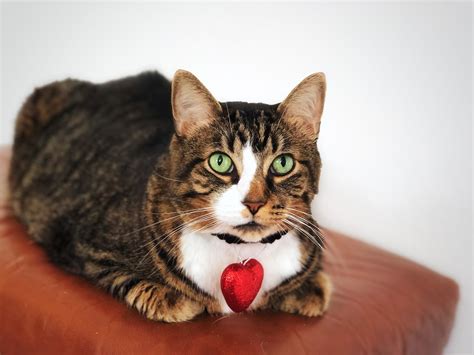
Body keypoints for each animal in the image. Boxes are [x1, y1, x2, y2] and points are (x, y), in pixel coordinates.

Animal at [8, 69, 334, 322]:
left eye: (283, 164)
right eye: (220, 162)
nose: (254, 203)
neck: (240, 252)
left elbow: (315, 284)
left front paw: (307, 290)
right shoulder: (82, 243)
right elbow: (135, 282)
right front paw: (174, 300)